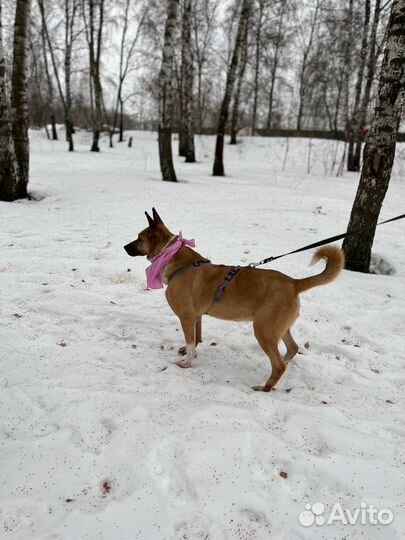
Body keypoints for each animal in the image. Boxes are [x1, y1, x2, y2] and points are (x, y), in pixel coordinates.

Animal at [124, 208, 344, 392]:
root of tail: (294, 283)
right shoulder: (196, 317)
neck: (174, 256)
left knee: (278, 365)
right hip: (278, 328)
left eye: (139, 238)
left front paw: (187, 362)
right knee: (292, 349)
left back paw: (265, 387)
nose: (124, 246)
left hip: (263, 331)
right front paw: (190, 351)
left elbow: (190, 342)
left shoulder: (186, 317)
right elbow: (196, 338)